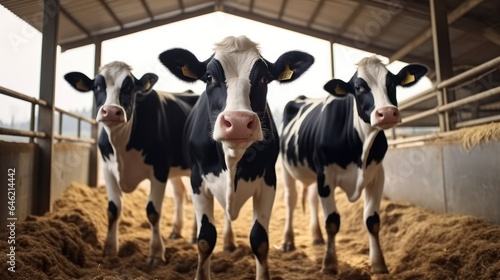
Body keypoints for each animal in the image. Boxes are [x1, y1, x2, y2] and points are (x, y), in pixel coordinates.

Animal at [65, 61, 199, 266]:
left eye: (129, 87)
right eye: (96, 86)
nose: (111, 111)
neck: (121, 145)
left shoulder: (159, 169)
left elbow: (153, 212)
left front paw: (156, 254)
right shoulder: (108, 169)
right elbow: (113, 209)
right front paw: (109, 250)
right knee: (180, 193)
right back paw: (177, 231)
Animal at [159, 36, 312, 278]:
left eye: (264, 78)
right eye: (209, 77)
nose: (239, 122)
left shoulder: (269, 180)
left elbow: (260, 240)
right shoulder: (197, 178)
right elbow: (205, 239)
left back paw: (230, 243)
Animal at [280, 56, 428, 274]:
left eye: (392, 82)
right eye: (359, 87)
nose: (387, 113)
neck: (361, 147)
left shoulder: (377, 175)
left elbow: (372, 221)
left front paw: (379, 265)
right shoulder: (326, 177)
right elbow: (332, 222)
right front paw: (329, 264)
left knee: (312, 198)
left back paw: (316, 237)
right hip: (285, 167)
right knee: (291, 200)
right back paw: (288, 242)